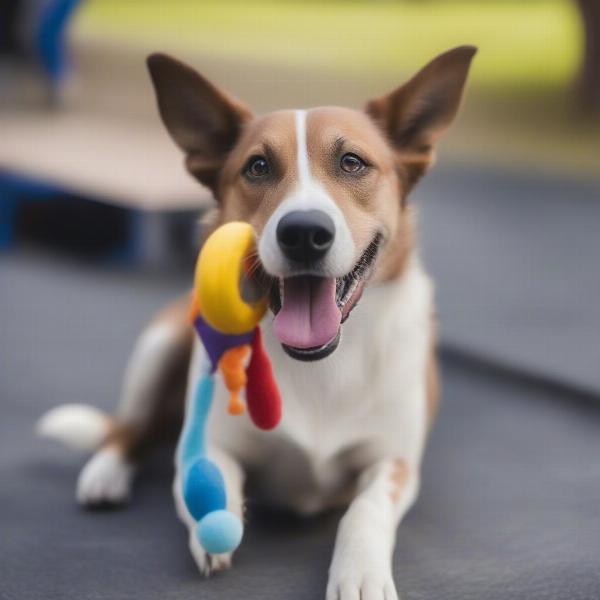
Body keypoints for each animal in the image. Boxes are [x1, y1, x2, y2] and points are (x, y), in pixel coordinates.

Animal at [38, 47, 478, 600]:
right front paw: (214, 520)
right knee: (131, 427)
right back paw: (106, 472)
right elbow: (205, 479)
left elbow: (366, 508)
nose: (304, 232)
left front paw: (360, 570)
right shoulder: (209, 443)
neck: (321, 364)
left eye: (352, 162)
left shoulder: (395, 461)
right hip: (159, 343)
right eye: (258, 166)